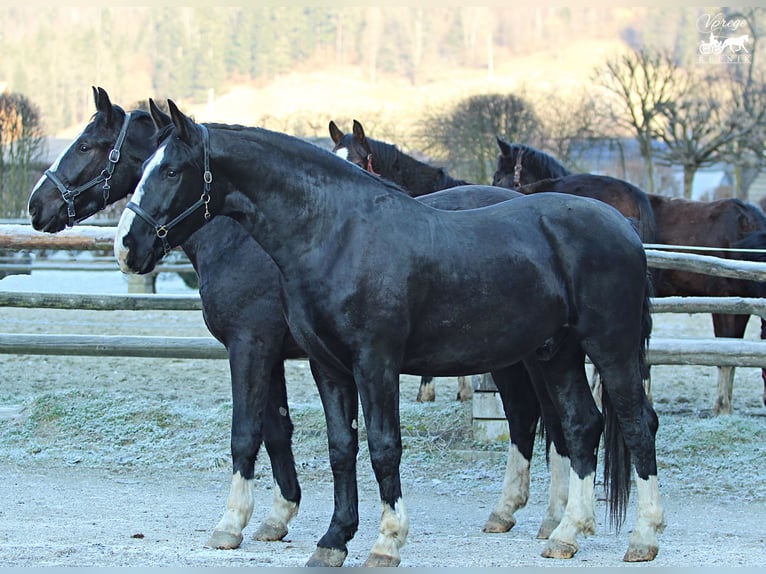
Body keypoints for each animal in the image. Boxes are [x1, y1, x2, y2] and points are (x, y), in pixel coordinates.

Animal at [25, 89, 552, 560]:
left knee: (534, 418)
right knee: (532, 419)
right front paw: (278, 517)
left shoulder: (250, 345)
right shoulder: (276, 353)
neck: (244, 237)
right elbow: (278, 430)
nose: (36, 206)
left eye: (88, 146)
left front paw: (233, 524)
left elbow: (246, 432)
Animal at [114, 101, 664, 568]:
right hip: (557, 354)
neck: (336, 234)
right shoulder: (327, 366)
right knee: (581, 426)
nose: (126, 245)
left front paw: (386, 541)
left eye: (170, 170)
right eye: (141, 168)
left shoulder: (371, 361)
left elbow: (382, 446)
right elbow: (341, 447)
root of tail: (624, 228)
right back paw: (567, 533)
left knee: (637, 425)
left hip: (609, 349)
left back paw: (643, 538)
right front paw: (334, 540)